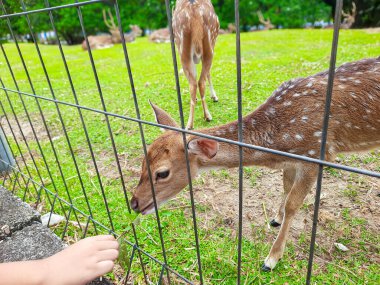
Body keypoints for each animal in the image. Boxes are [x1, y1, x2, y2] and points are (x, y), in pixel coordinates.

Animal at [131, 56, 380, 270]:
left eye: (162, 173)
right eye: (143, 160)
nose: (133, 203)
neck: (278, 146)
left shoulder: (316, 153)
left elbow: (293, 205)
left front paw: (271, 259)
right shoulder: (292, 161)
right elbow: (285, 188)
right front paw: (275, 218)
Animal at [172, 0, 220, 129]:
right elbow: (208, 74)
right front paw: (214, 96)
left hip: (182, 50)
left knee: (193, 83)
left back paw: (189, 124)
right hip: (210, 45)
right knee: (201, 81)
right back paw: (207, 116)